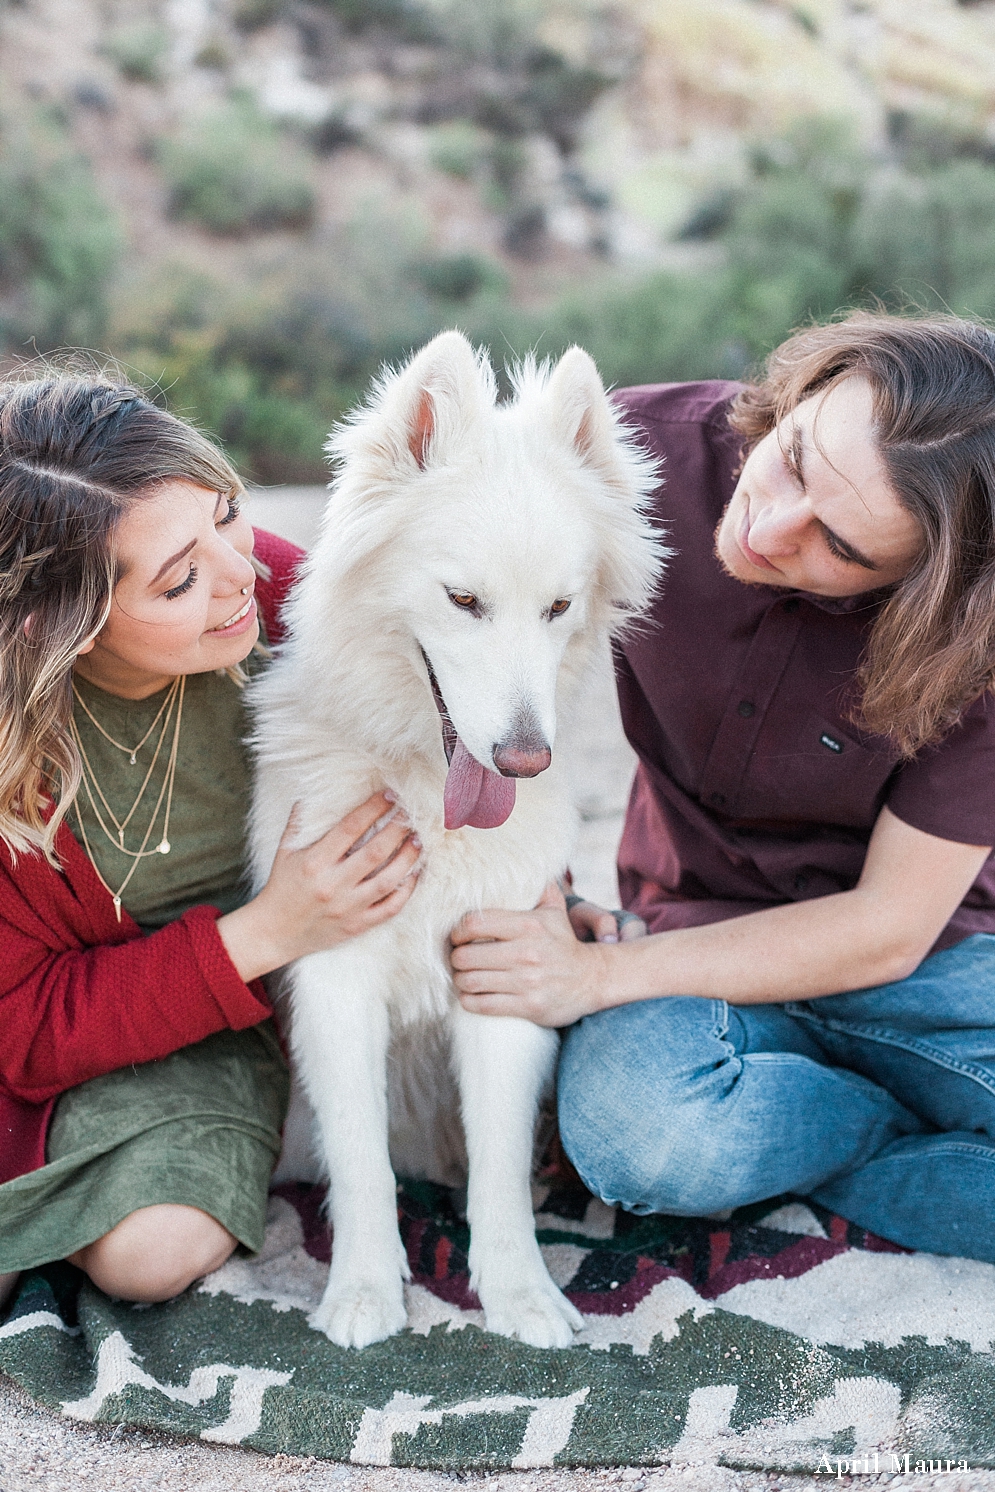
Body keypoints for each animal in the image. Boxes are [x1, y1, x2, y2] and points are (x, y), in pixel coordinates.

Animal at [247, 329, 662, 1354]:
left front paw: (518, 1297)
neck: (427, 796)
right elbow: (361, 1166)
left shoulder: (504, 974)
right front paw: (364, 1292)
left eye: (558, 608)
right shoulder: (336, 984)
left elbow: (500, 1176)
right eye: (463, 600)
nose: (523, 758)